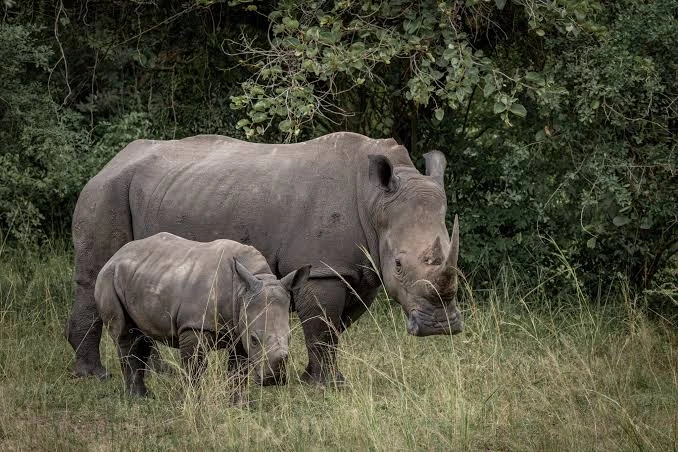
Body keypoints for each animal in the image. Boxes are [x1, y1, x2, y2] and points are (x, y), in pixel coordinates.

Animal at [94, 232, 311, 399]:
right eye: (255, 340)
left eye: (290, 338)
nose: (274, 380)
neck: (243, 289)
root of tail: (116, 254)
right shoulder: (194, 326)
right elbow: (194, 369)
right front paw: (191, 401)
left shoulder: (239, 327)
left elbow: (238, 372)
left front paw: (238, 405)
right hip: (108, 277)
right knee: (124, 334)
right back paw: (138, 398)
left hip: (141, 276)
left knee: (142, 333)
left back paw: (145, 396)